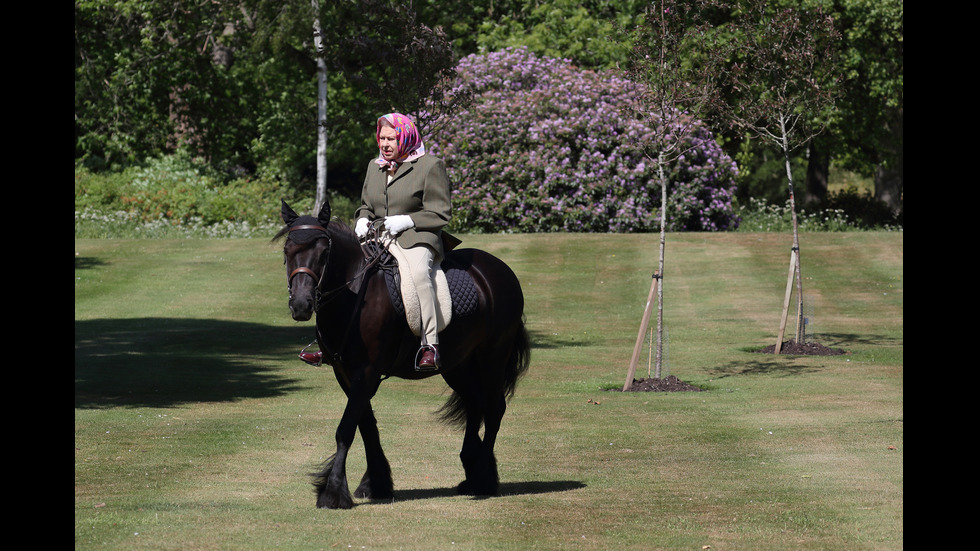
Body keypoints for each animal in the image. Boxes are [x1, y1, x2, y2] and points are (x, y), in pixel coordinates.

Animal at [276, 201, 528, 512]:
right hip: (458, 365)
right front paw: (375, 483)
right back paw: (472, 470)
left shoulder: (367, 371)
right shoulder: (345, 373)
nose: (301, 305)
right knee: (475, 404)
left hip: (492, 357)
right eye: (287, 251)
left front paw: (333, 492)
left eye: (324, 253)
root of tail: (499, 270)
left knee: (493, 409)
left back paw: (483, 479)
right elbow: (366, 425)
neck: (355, 293)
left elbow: (346, 429)